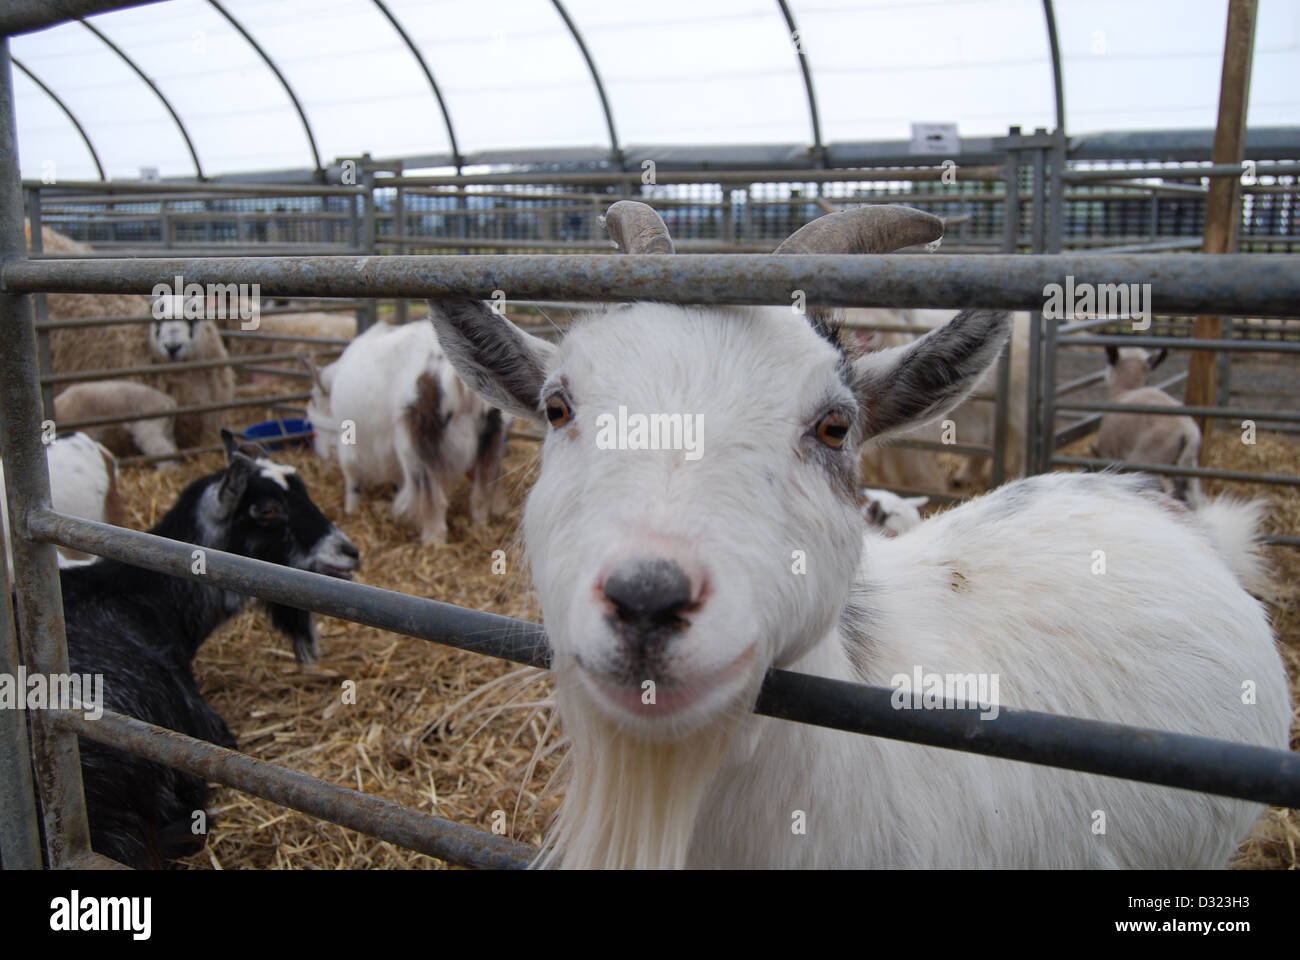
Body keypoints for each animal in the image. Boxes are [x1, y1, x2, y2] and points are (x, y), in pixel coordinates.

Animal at [312, 321, 509, 541]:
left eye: (315, 400)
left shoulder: (350, 443)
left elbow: (352, 477)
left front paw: (351, 510)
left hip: (415, 450)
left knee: (435, 503)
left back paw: (433, 541)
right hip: (490, 443)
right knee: (480, 496)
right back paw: (480, 531)